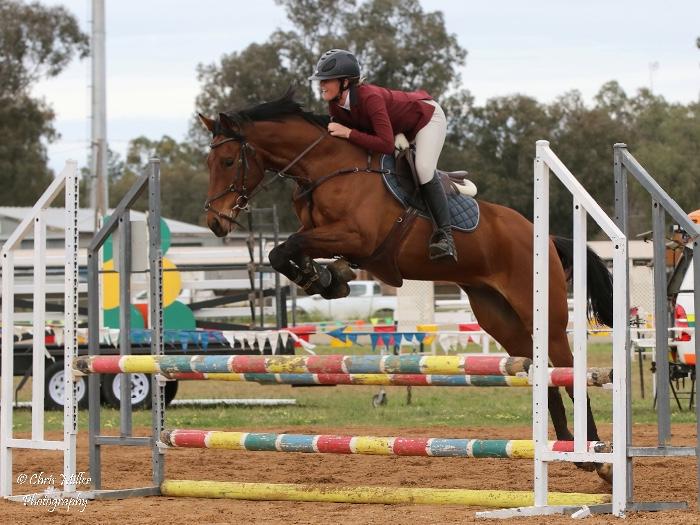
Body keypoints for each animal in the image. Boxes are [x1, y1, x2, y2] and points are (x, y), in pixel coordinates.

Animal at [198, 89, 614, 483]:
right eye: (208, 163)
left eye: (229, 161)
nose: (216, 222)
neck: (328, 169)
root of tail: (543, 237)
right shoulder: (327, 236)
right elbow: (284, 251)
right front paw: (326, 280)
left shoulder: (356, 237)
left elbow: (286, 247)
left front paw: (323, 278)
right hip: (500, 317)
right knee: (542, 374)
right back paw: (567, 450)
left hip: (544, 314)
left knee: (569, 373)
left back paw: (597, 459)